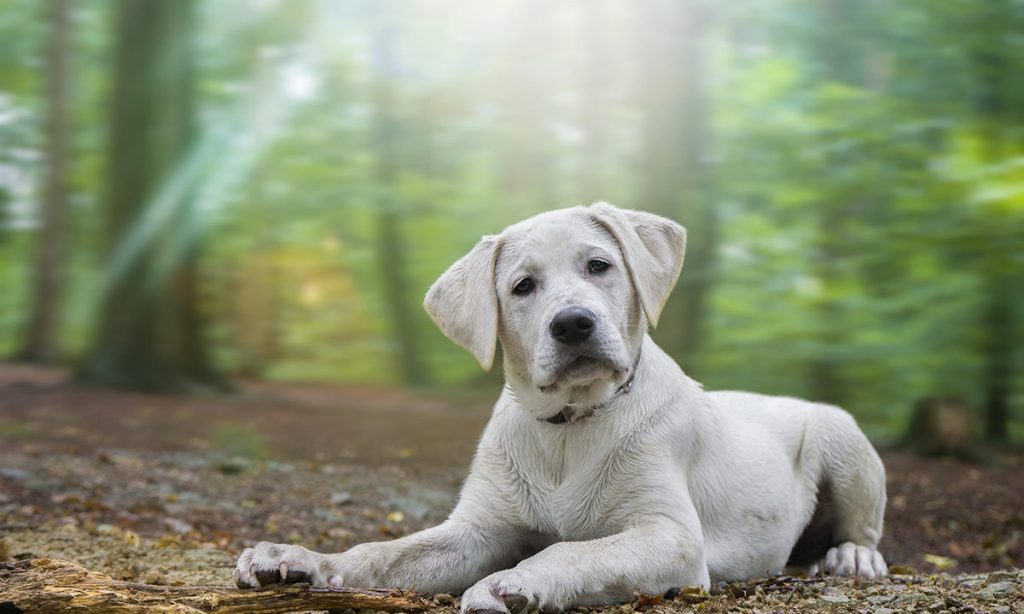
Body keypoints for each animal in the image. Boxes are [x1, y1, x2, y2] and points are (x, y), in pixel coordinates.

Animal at [234, 203, 888, 609]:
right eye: (522, 286)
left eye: (599, 265)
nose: (574, 323)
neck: (569, 426)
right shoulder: (475, 531)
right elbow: (384, 553)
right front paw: (300, 559)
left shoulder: (672, 537)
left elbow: (574, 549)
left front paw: (512, 583)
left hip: (841, 435)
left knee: (864, 528)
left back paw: (851, 557)